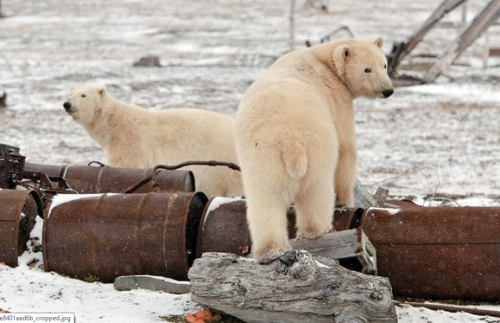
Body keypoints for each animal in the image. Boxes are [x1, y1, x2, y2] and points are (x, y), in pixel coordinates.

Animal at [63, 85, 243, 199]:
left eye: (83, 95)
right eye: (70, 94)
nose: (67, 104)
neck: (113, 121)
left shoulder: (127, 141)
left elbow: (124, 165)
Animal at [235, 37, 394, 264]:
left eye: (384, 64)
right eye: (367, 69)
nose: (387, 90)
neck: (323, 60)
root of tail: (288, 139)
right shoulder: (337, 98)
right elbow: (346, 147)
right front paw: (345, 201)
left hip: (261, 156)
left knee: (265, 200)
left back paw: (270, 250)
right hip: (317, 147)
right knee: (316, 192)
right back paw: (318, 230)